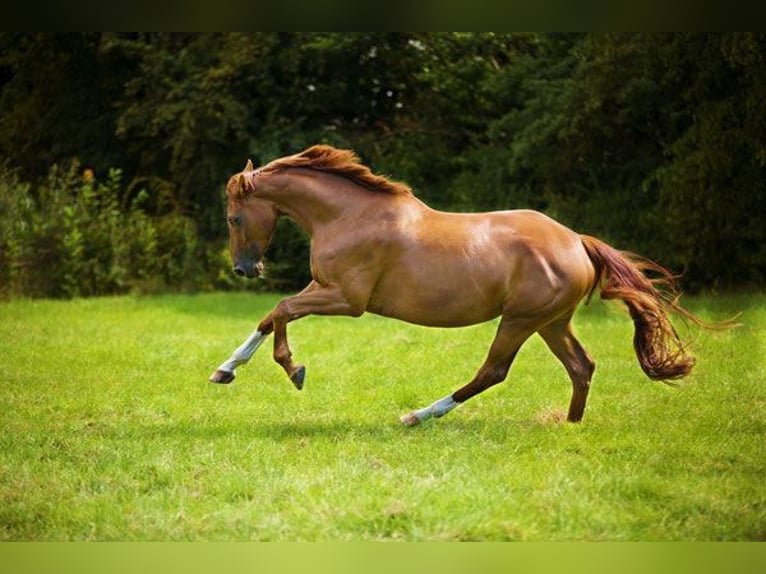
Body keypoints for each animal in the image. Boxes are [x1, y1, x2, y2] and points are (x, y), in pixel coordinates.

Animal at [209, 144, 703, 425]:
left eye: (233, 217)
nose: (244, 269)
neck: (348, 216)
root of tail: (577, 242)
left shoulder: (346, 299)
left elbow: (280, 310)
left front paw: (292, 369)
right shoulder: (323, 289)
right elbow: (269, 316)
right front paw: (225, 370)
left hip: (520, 320)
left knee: (493, 372)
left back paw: (418, 415)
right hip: (551, 322)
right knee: (581, 367)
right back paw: (570, 427)